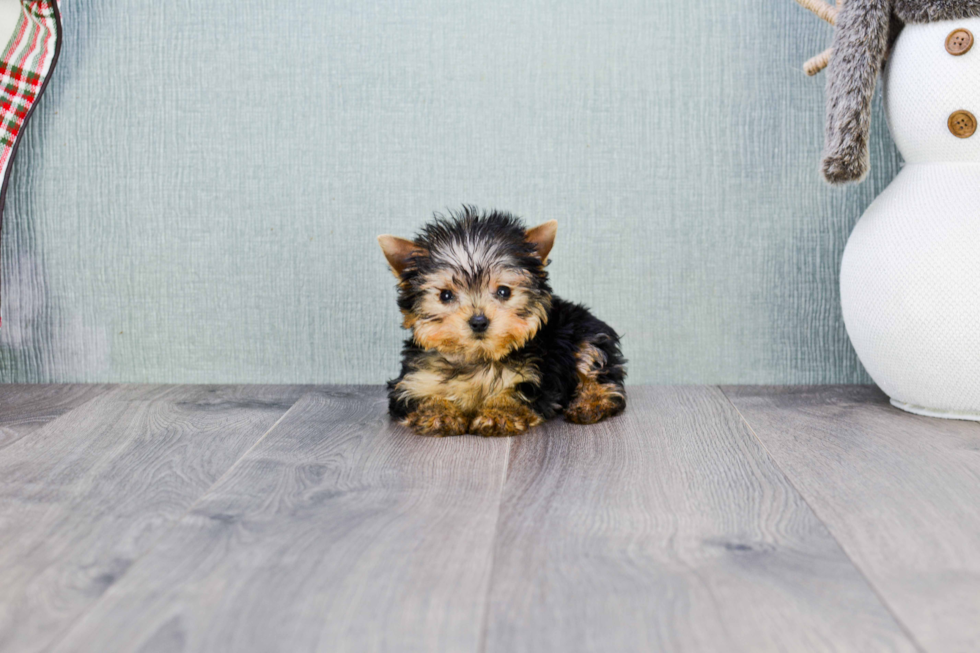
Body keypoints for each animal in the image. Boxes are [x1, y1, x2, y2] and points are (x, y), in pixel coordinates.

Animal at [378, 206, 624, 436]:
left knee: (596, 369)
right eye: (445, 295)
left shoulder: (533, 375)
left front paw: (499, 414)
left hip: (586, 334)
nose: (479, 321)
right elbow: (422, 395)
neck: (478, 359)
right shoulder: (415, 379)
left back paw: (591, 403)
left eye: (504, 291)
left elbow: (515, 392)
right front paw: (439, 413)